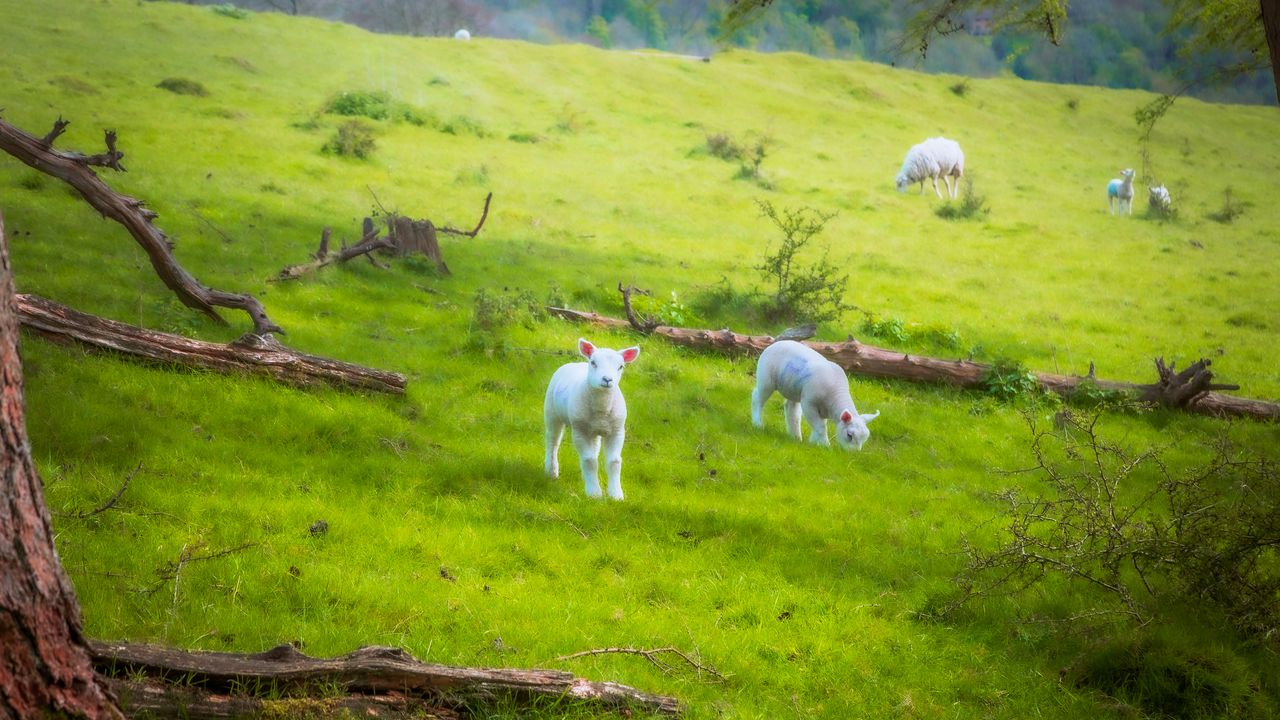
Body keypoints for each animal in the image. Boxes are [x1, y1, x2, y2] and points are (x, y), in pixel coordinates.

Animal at [542, 335, 640, 499]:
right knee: (553, 442)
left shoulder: (617, 431)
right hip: (552, 412)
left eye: (620, 366)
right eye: (593, 362)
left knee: (594, 448)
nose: (607, 379)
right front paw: (594, 493)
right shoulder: (579, 430)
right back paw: (551, 471)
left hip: (594, 430)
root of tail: (575, 363)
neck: (601, 408)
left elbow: (614, 462)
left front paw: (616, 494)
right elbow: (589, 461)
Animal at [747, 338, 880, 448]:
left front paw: (814, 442)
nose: (852, 454)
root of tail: (775, 343)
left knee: (791, 410)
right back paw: (757, 423)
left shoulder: (823, 409)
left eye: (864, 438)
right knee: (757, 398)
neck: (836, 395)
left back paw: (795, 436)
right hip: (766, 380)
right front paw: (825, 445)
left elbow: (819, 425)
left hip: (793, 389)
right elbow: (820, 426)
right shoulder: (809, 403)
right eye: (849, 435)